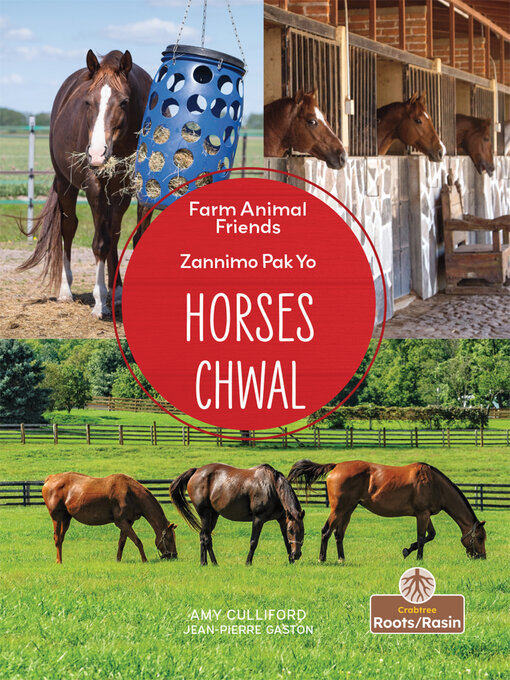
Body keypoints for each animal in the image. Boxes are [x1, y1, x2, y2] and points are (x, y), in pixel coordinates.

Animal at [18, 50, 153, 318]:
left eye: (124, 102)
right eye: (88, 102)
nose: (97, 154)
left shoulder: (128, 190)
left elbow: (118, 237)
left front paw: (116, 295)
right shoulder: (94, 188)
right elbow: (99, 244)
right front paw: (100, 303)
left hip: (115, 195)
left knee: (113, 233)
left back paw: (116, 292)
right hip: (65, 185)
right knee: (69, 229)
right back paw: (66, 291)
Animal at [42, 472, 178, 563]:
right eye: (169, 538)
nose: (174, 555)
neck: (131, 493)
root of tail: (51, 478)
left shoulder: (128, 522)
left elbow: (122, 542)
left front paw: (118, 560)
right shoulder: (121, 522)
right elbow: (138, 541)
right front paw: (144, 560)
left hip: (66, 519)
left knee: (61, 539)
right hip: (56, 518)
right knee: (57, 538)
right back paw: (59, 561)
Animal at [170, 463, 305, 566]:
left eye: (302, 531)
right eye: (291, 530)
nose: (297, 554)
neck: (272, 487)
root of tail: (196, 471)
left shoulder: (282, 519)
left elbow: (286, 541)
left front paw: (291, 561)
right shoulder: (258, 519)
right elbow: (253, 542)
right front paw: (248, 563)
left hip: (213, 515)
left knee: (202, 536)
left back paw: (204, 563)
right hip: (205, 514)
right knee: (207, 538)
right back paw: (214, 563)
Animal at [288, 460, 486, 563]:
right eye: (480, 538)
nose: (482, 557)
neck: (435, 483)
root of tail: (336, 466)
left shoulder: (425, 514)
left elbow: (430, 535)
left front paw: (408, 550)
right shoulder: (422, 514)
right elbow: (422, 537)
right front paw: (417, 557)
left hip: (348, 510)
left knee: (338, 534)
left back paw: (341, 559)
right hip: (339, 509)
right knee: (326, 531)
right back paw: (322, 558)